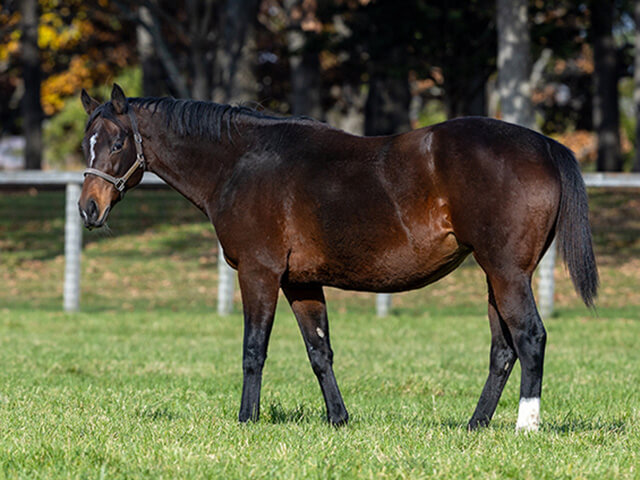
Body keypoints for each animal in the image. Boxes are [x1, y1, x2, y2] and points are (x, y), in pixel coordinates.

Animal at [77, 83, 596, 432]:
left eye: (117, 142)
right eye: (88, 142)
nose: (89, 208)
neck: (241, 162)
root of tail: (544, 144)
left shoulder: (260, 273)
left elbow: (253, 350)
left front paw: (247, 419)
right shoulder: (300, 282)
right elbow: (319, 351)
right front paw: (338, 418)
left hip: (507, 273)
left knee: (530, 337)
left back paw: (525, 425)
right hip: (496, 275)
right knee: (503, 349)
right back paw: (476, 424)